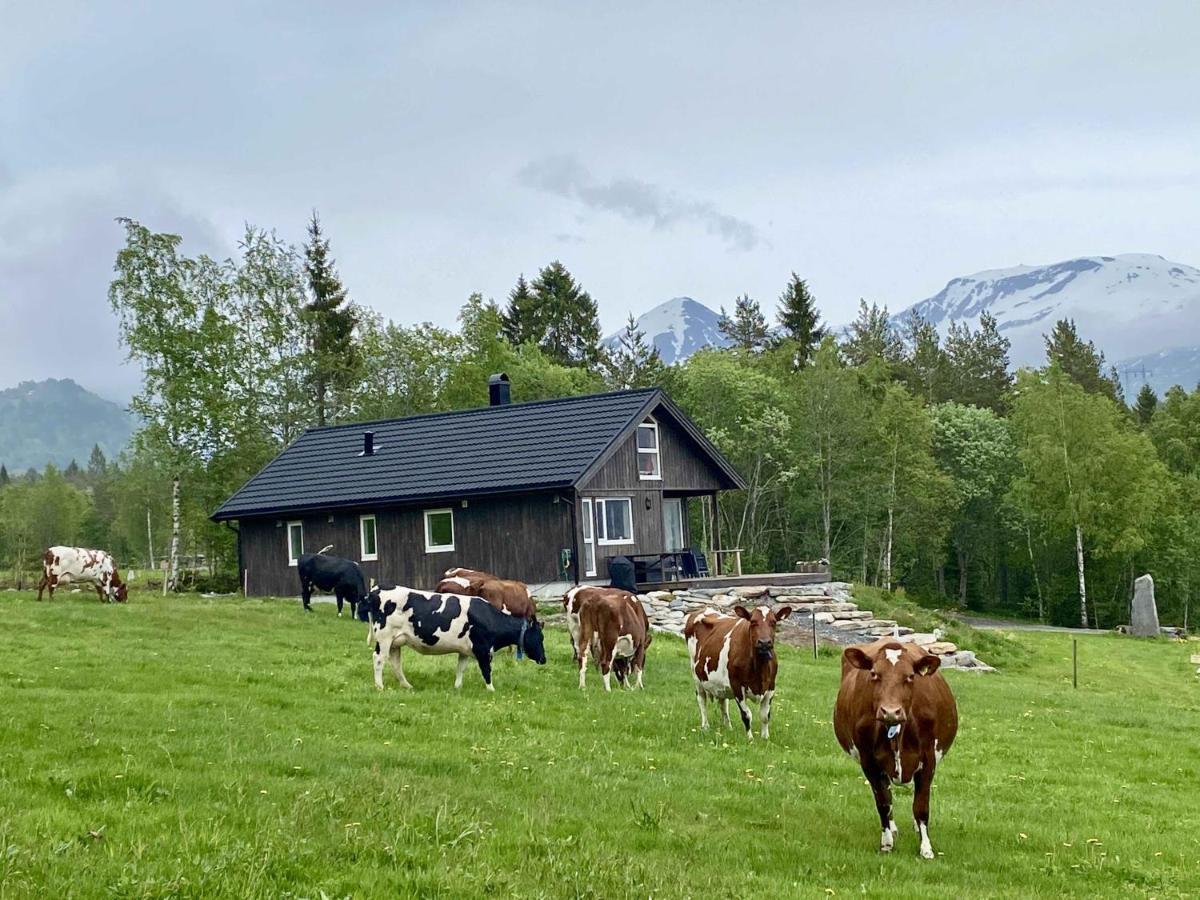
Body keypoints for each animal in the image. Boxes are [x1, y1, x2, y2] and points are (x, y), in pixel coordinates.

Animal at [352, 588, 547, 696]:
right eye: (540, 637)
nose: (544, 659)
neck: (490, 617)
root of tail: (375, 592)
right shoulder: (483, 649)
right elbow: (486, 670)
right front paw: (491, 690)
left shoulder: (465, 650)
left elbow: (460, 669)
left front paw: (457, 687)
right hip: (384, 638)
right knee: (378, 659)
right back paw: (379, 686)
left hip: (396, 641)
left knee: (395, 663)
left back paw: (407, 685)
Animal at [686, 607, 787, 739]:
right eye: (753, 622)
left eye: (774, 622)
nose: (764, 642)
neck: (760, 669)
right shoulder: (737, 686)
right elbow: (747, 715)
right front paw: (750, 739)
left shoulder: (771, 687)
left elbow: (765, 715)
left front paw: (765, 738)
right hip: (696, 676)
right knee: (702, 700)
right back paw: (705, 726)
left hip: (720, 684)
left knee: (723, 703)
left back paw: (728, 727)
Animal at [830, 643, 960, 859]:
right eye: (874, 674)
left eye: (910, 676)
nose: (890, 711)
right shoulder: (869, 763)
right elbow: (883, 803)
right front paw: (887, 843)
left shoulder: (928, 760)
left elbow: (921, 806)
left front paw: (926, 848)